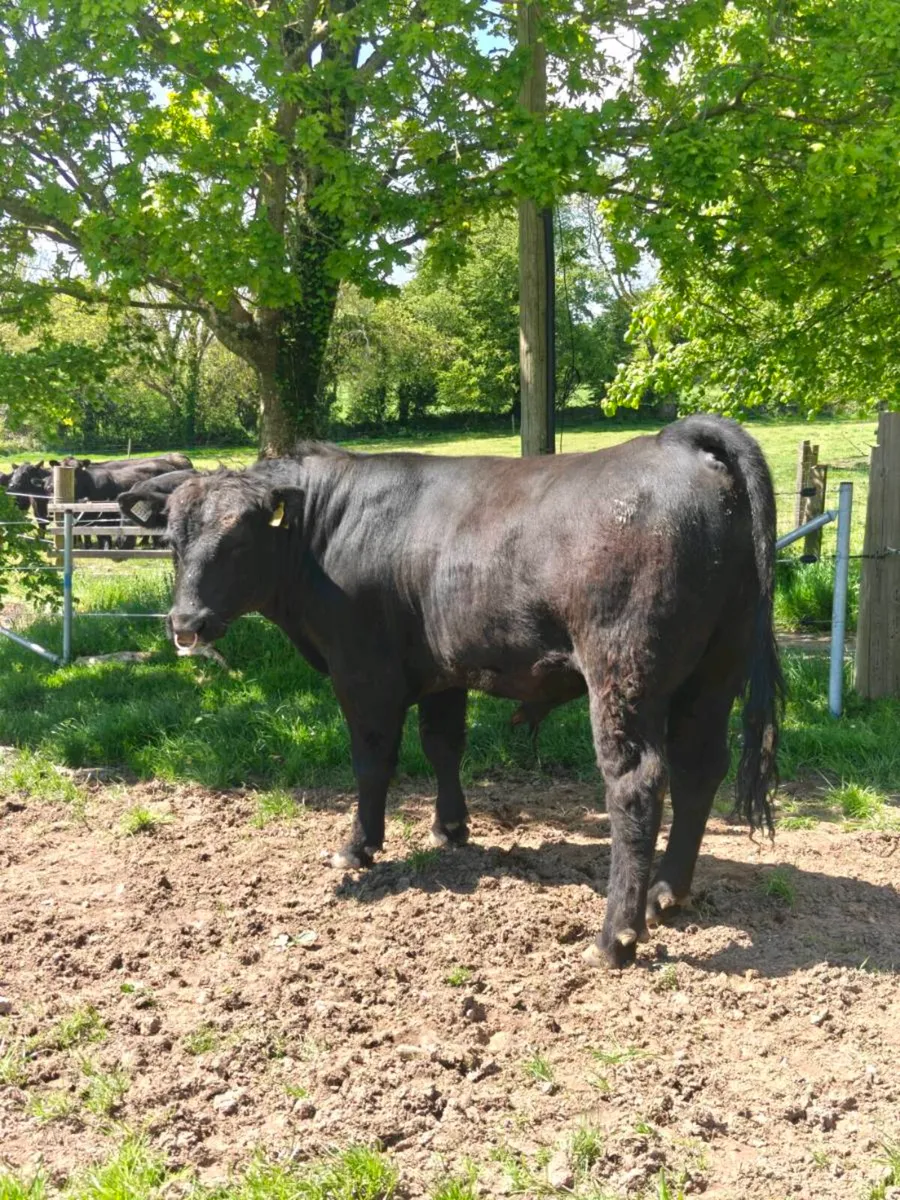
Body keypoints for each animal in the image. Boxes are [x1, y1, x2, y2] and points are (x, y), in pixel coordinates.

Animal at [120, 417, 783, 968]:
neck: (327, 533)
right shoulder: (442, 669)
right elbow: (443, 745)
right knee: (701, 767)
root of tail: (678, 443)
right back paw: (667, 894)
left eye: (237, 540)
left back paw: (614, 937)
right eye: (173, 542)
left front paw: (358, 847)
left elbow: (372, 760)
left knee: (637, 783)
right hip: (716, 669)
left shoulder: (363, 670)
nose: (185, 623)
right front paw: (451, 829)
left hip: (624, 671)